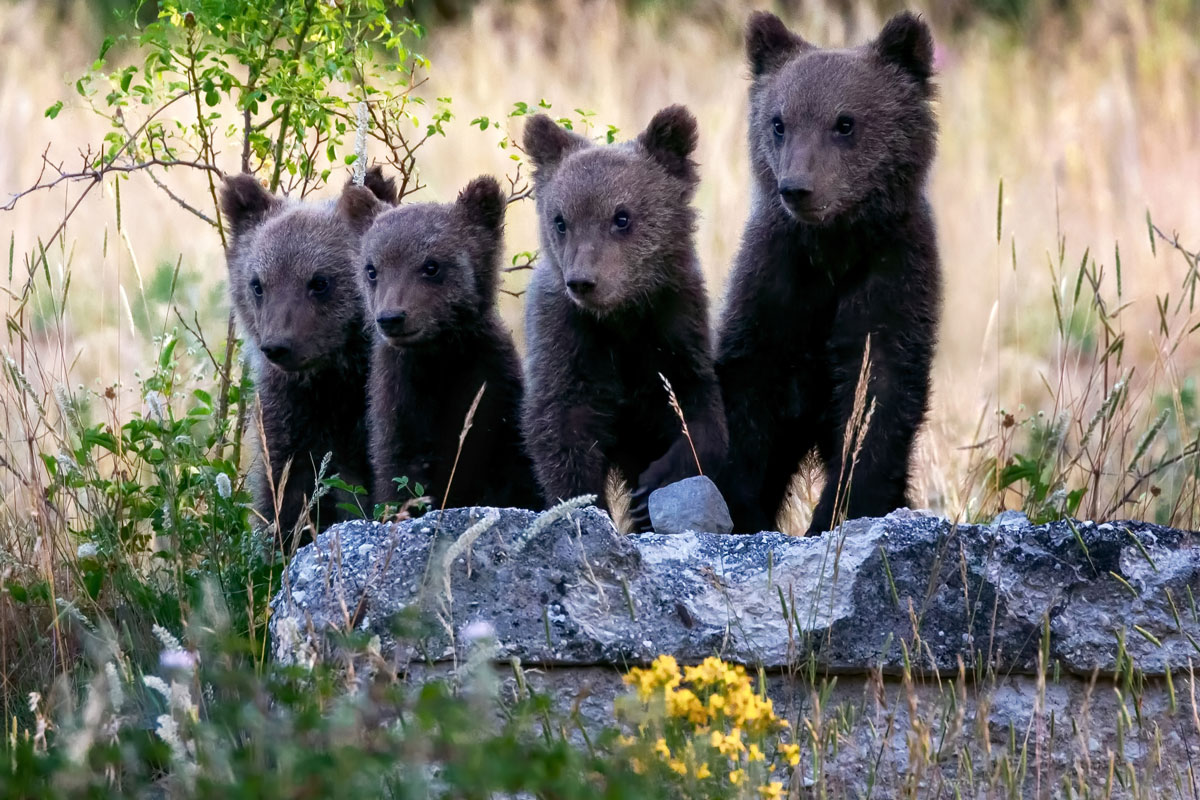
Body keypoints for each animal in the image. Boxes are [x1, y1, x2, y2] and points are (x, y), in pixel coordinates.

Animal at [359, 176, 542, 512]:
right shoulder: (401, 403)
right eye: (372, 269)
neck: (440, 358)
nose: (391, 317)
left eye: (431, 266)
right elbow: (400, 475)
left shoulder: (493, 390)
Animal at [521, 105, 728, 530]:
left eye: (622, 217)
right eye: (561, 220)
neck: (621, 317)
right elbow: (561, 429)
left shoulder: (676, 327)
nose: (583, 281)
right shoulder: (567, 341)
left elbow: (700, 414)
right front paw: (585, 505)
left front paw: (651, 487)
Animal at [715, 11, 942, 535]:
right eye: (779, 122)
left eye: (845, 122)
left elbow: (875, 400)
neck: (832, 250)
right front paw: (743, 509)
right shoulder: (776, 282)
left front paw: (838, 512)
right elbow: (748, 395)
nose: (798, 188)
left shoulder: (891, 276)